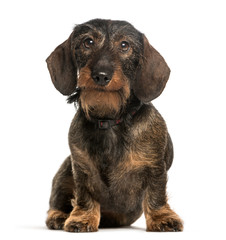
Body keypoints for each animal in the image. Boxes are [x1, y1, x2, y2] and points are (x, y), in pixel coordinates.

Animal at [45, 17, 184, 232]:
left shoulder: (154, 168)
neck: (110, 121)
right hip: (64, 171)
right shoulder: (81, 168)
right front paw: (82, 218)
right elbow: (84, 195)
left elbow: (156, 194)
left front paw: (162, 218)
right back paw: (59, 216)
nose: (101, 75)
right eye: (88, 42)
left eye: (124, 45)